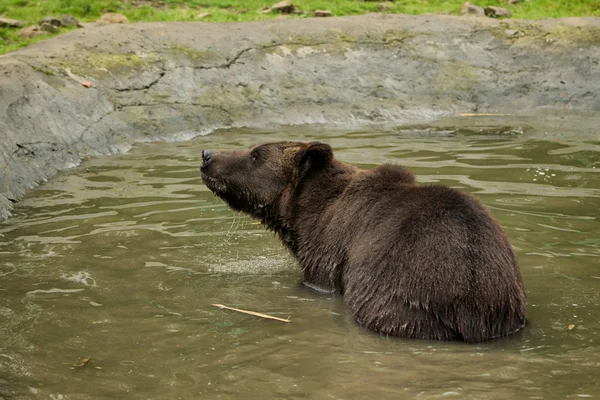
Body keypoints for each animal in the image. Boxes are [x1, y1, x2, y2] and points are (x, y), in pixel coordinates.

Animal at [200, 141, 524, 344]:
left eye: (255, 155)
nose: (207, 155)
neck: (306, 213)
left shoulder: (328, 251)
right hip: (504, 297)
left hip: (407, 294)